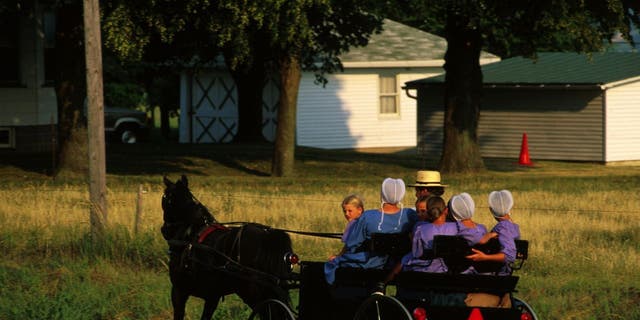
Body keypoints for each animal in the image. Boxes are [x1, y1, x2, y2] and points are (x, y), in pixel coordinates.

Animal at [161, 175, 298, 320]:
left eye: (164, 198)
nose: (164, 230)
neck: (192, 233)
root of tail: (268, 236)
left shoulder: (178, 291)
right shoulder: (212, 296)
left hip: (252, 293)